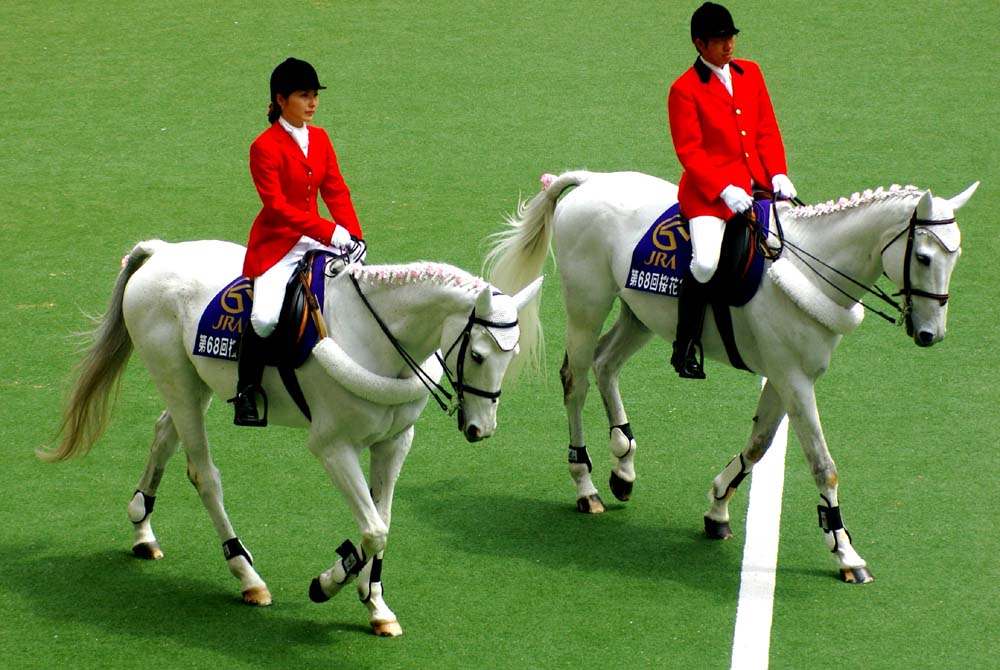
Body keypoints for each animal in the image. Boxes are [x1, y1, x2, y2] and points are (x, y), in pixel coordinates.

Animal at [41, 239, 540, 636]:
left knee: (165, 432)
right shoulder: (332, 446)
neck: (375, 336)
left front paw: (374, 602)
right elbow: (373, 530)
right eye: (478, 355)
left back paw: (143, 528)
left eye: (512, 354)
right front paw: (330, 582)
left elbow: (381, 522)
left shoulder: (395, 442)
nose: (481, 429)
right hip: (177, 379)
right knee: (205, 474)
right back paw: (247, 575)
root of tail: (161, 251)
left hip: (194, 384)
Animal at [484, 169, 976, 588]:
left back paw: (623, 465)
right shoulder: (795, 381)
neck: (810, 267)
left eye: (957, 256)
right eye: (924, 256)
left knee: (606, 364)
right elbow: (823, 466)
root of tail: (590, 179)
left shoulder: (782, 379)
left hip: (642, 314)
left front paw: (718, 508)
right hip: (587, 306)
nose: (930, 334)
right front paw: (845, 553)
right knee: (577, 380)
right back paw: (585, 485)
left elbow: (758, 445)